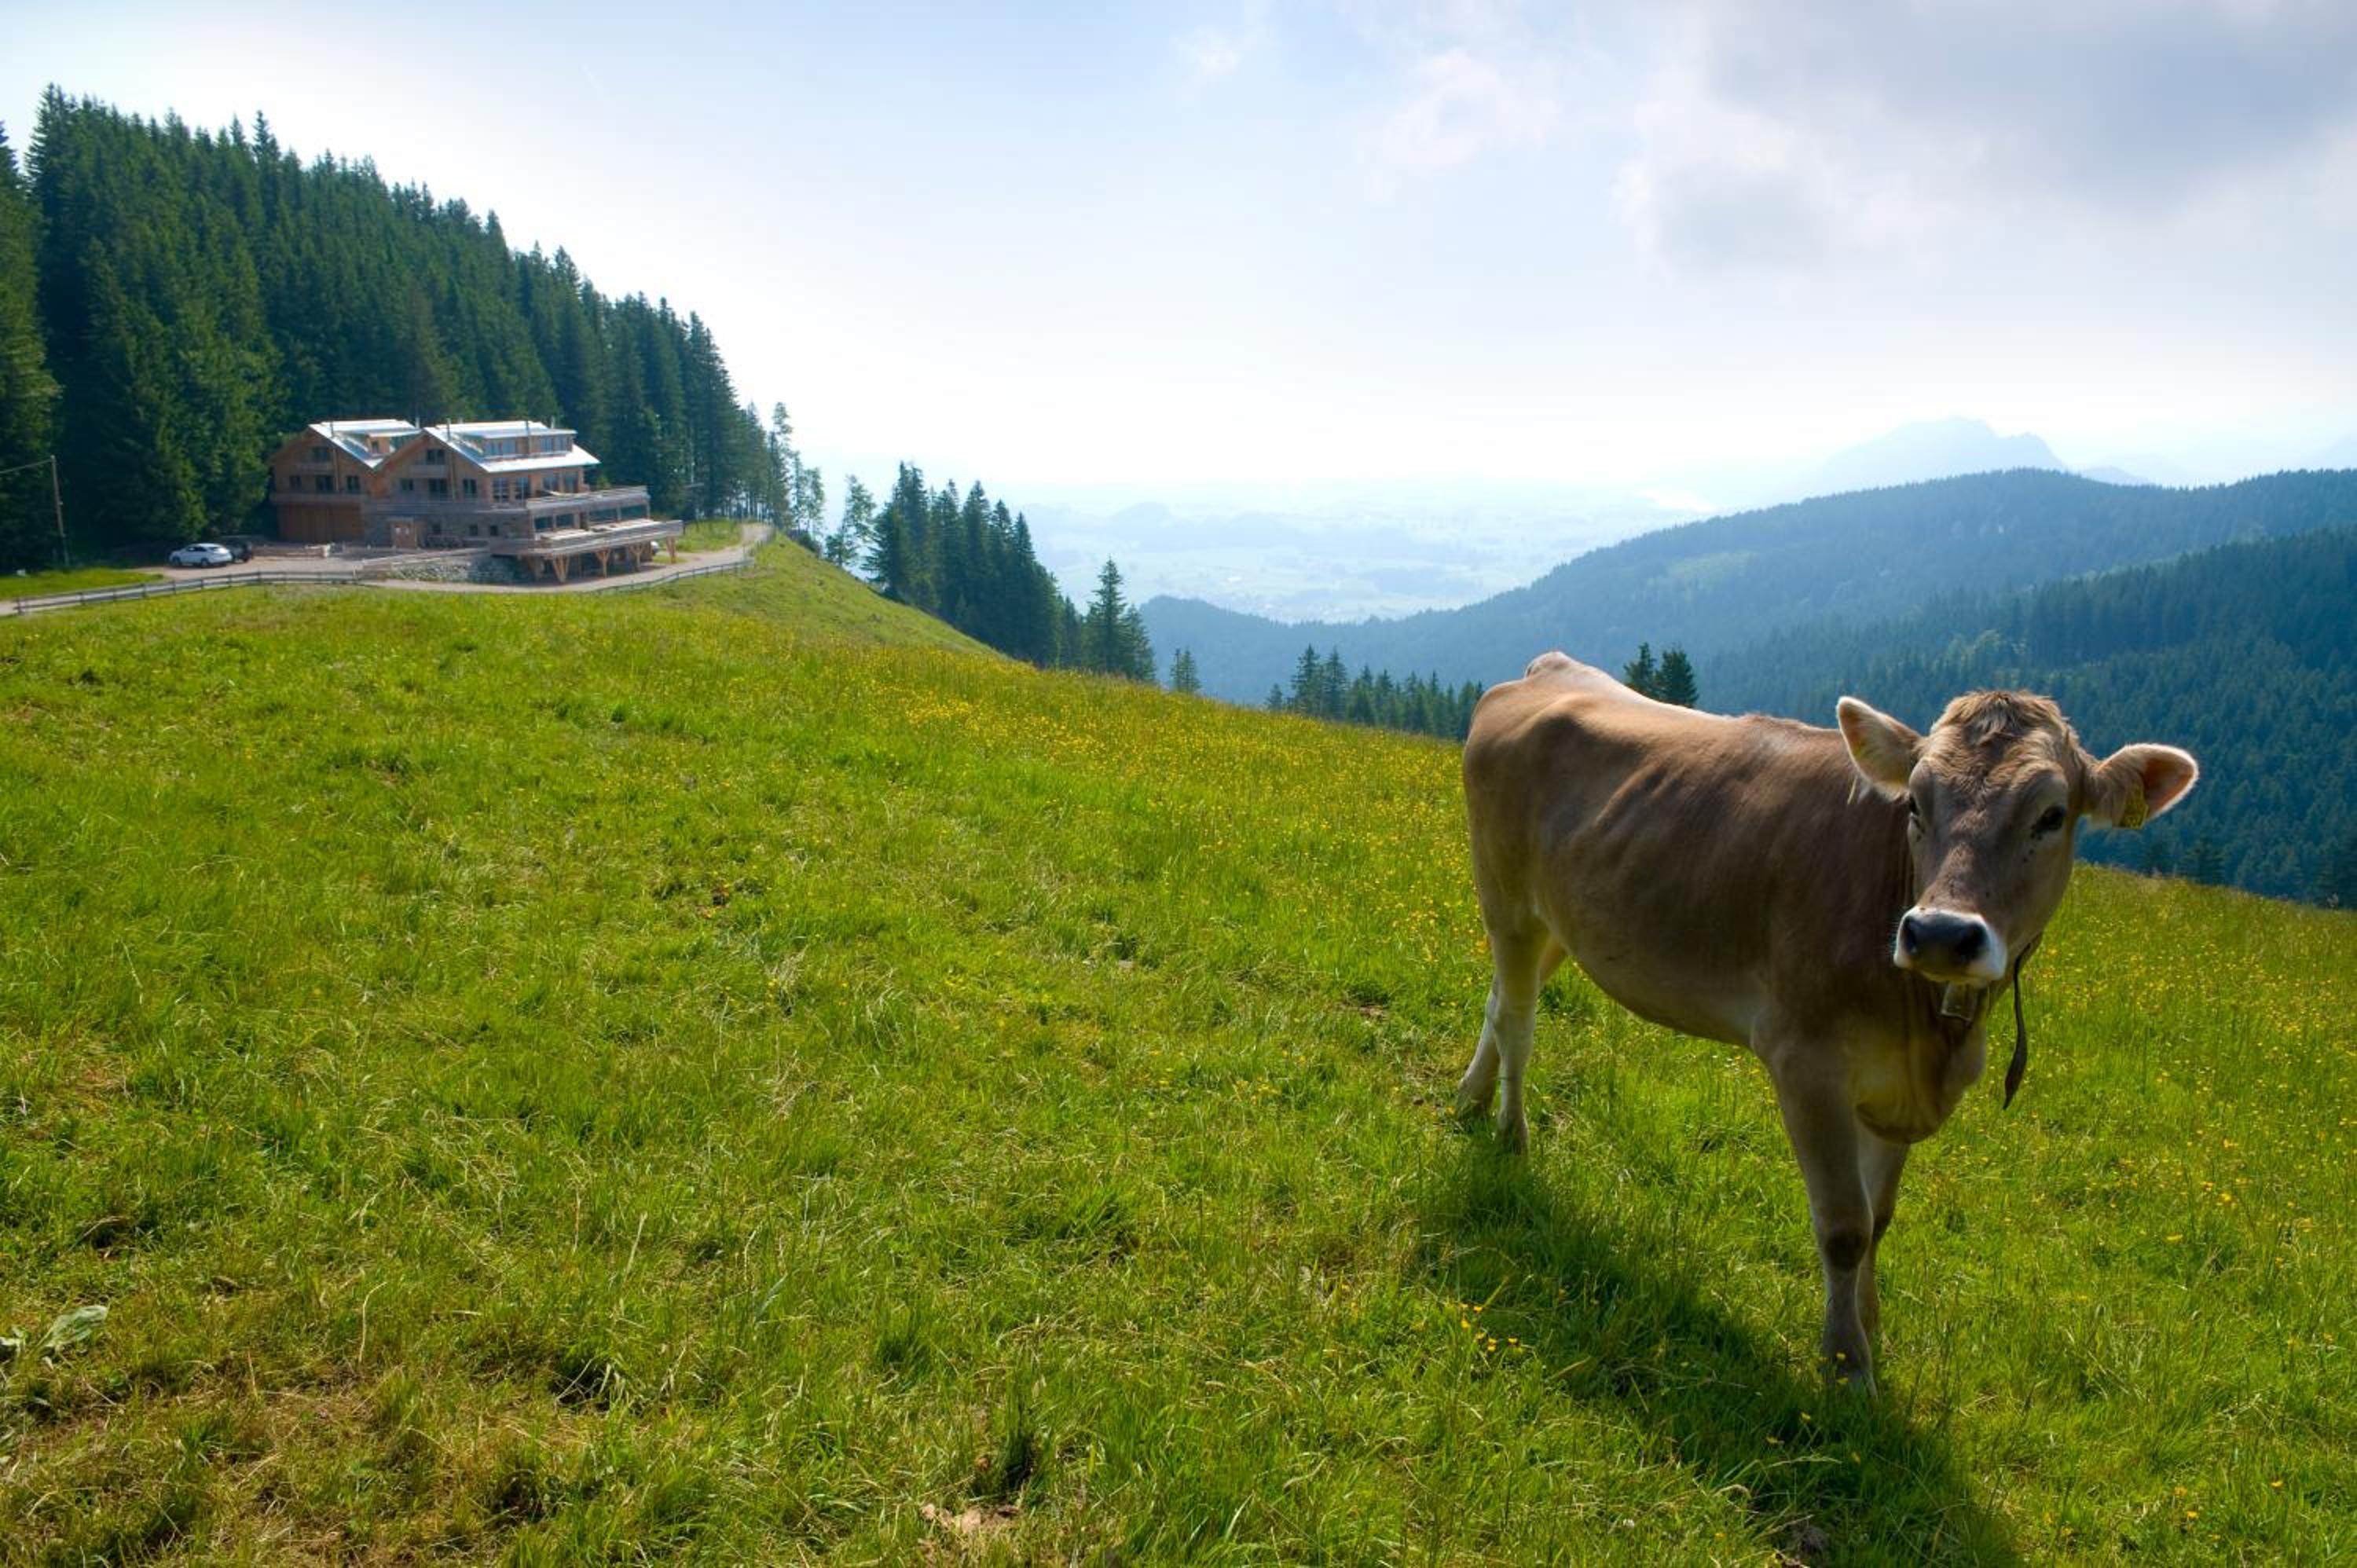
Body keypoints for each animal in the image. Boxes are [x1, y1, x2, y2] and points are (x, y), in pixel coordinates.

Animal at [1456, 651, 2198, 1390]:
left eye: (2051, 815)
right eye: (1916, 803)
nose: (1940, 934)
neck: (1932, 1034)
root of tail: (1549, 669)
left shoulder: (1895, 1084)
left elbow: (1881, 1217)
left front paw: (1870, 1328)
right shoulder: (1806, 1062)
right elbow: (1845, 1226)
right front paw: (1847, 1365)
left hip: (1563, 918)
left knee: (1498, 1001)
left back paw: (1469, 1101)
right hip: (1507, 897)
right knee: (1517, 1017)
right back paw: (1511, 1136)